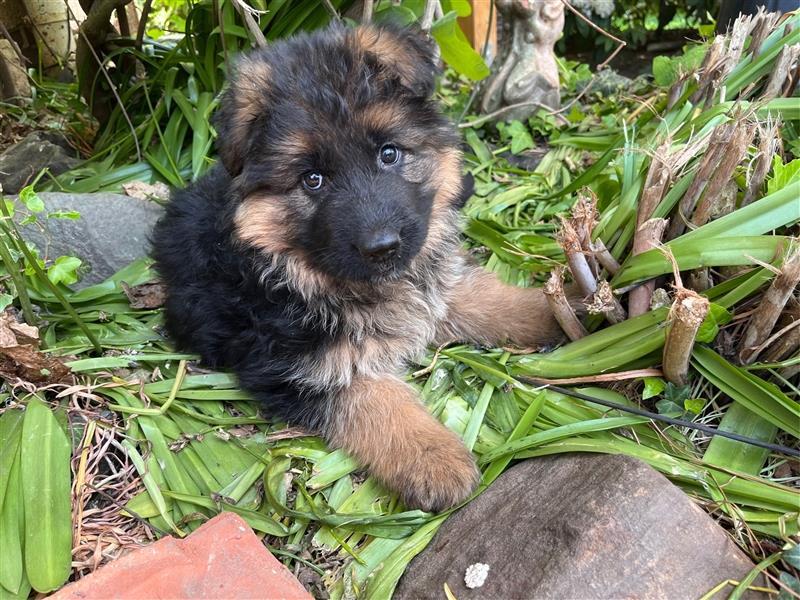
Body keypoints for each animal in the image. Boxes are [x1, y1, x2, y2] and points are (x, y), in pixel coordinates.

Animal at [152, 22, 568, 510]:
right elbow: (377, 402)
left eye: (389, 154)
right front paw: (435, 459)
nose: (382, 247)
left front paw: (562, 308)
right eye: (312, 179)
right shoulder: (299, 366)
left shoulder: (432, 288)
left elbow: (486, 299)